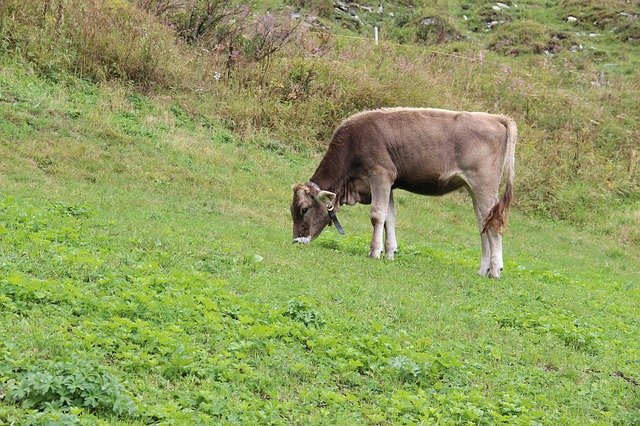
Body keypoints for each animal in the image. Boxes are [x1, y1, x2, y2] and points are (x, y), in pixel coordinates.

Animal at [290, 108, 516, 278]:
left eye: (304, 209)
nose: (296, 241)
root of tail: (495, 118)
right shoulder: (388, 184)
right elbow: (389, 218)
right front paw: (390, 253)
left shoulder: (380, 175)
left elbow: (377, 215)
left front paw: (374, 252)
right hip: (474, 189)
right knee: (483, 224)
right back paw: (483, 269)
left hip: (484, 187)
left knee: (493, 224)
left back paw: (495, 270)